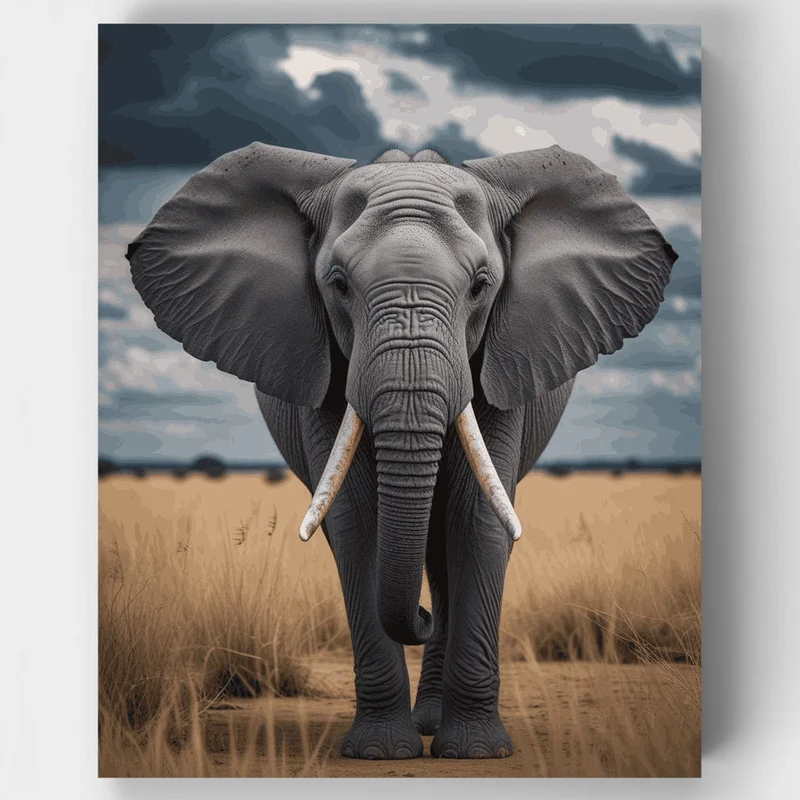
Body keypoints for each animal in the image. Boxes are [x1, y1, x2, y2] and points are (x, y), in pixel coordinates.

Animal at [126, 142, 677, 760]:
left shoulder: (504, 361)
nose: (421, 616)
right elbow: (358, 521)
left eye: (481, 284)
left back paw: (435, 717)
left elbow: (476, 520)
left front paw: (477, 753)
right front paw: (380, 751)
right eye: (338, 284)